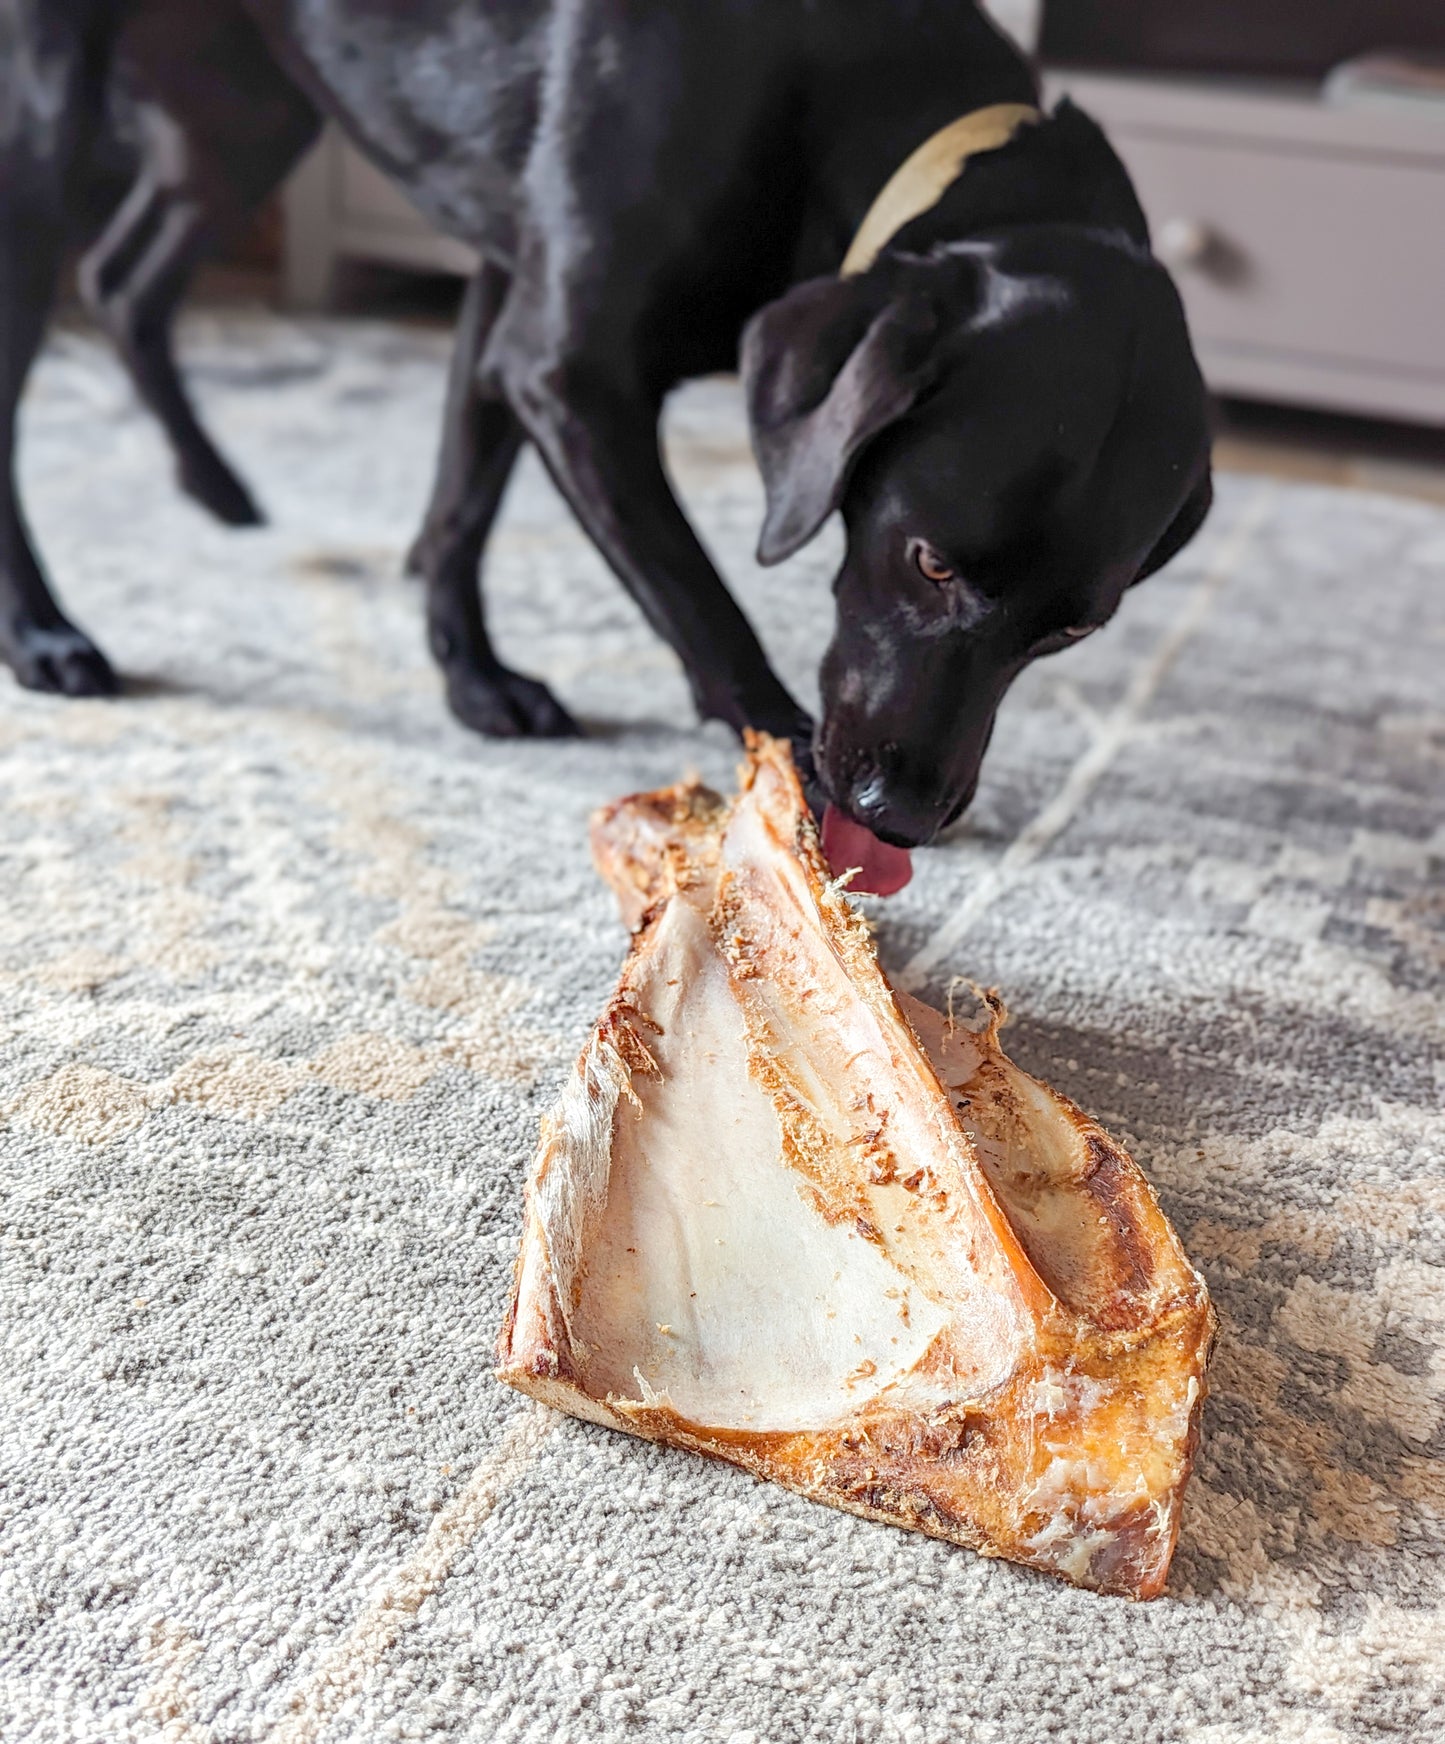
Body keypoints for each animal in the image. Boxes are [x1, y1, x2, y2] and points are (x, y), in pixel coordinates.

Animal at [5, 0, 1213, 854]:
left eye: (1071, 631)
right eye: (928, 562)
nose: (900, 816)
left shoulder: (508, 307)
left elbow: (461, 501)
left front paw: (469, 675)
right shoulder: (570, 371)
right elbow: (700, 600)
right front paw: (787, 778)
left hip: (245, 111)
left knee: (124, 280)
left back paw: (214, 486)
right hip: (53, 126)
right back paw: (46, 635)